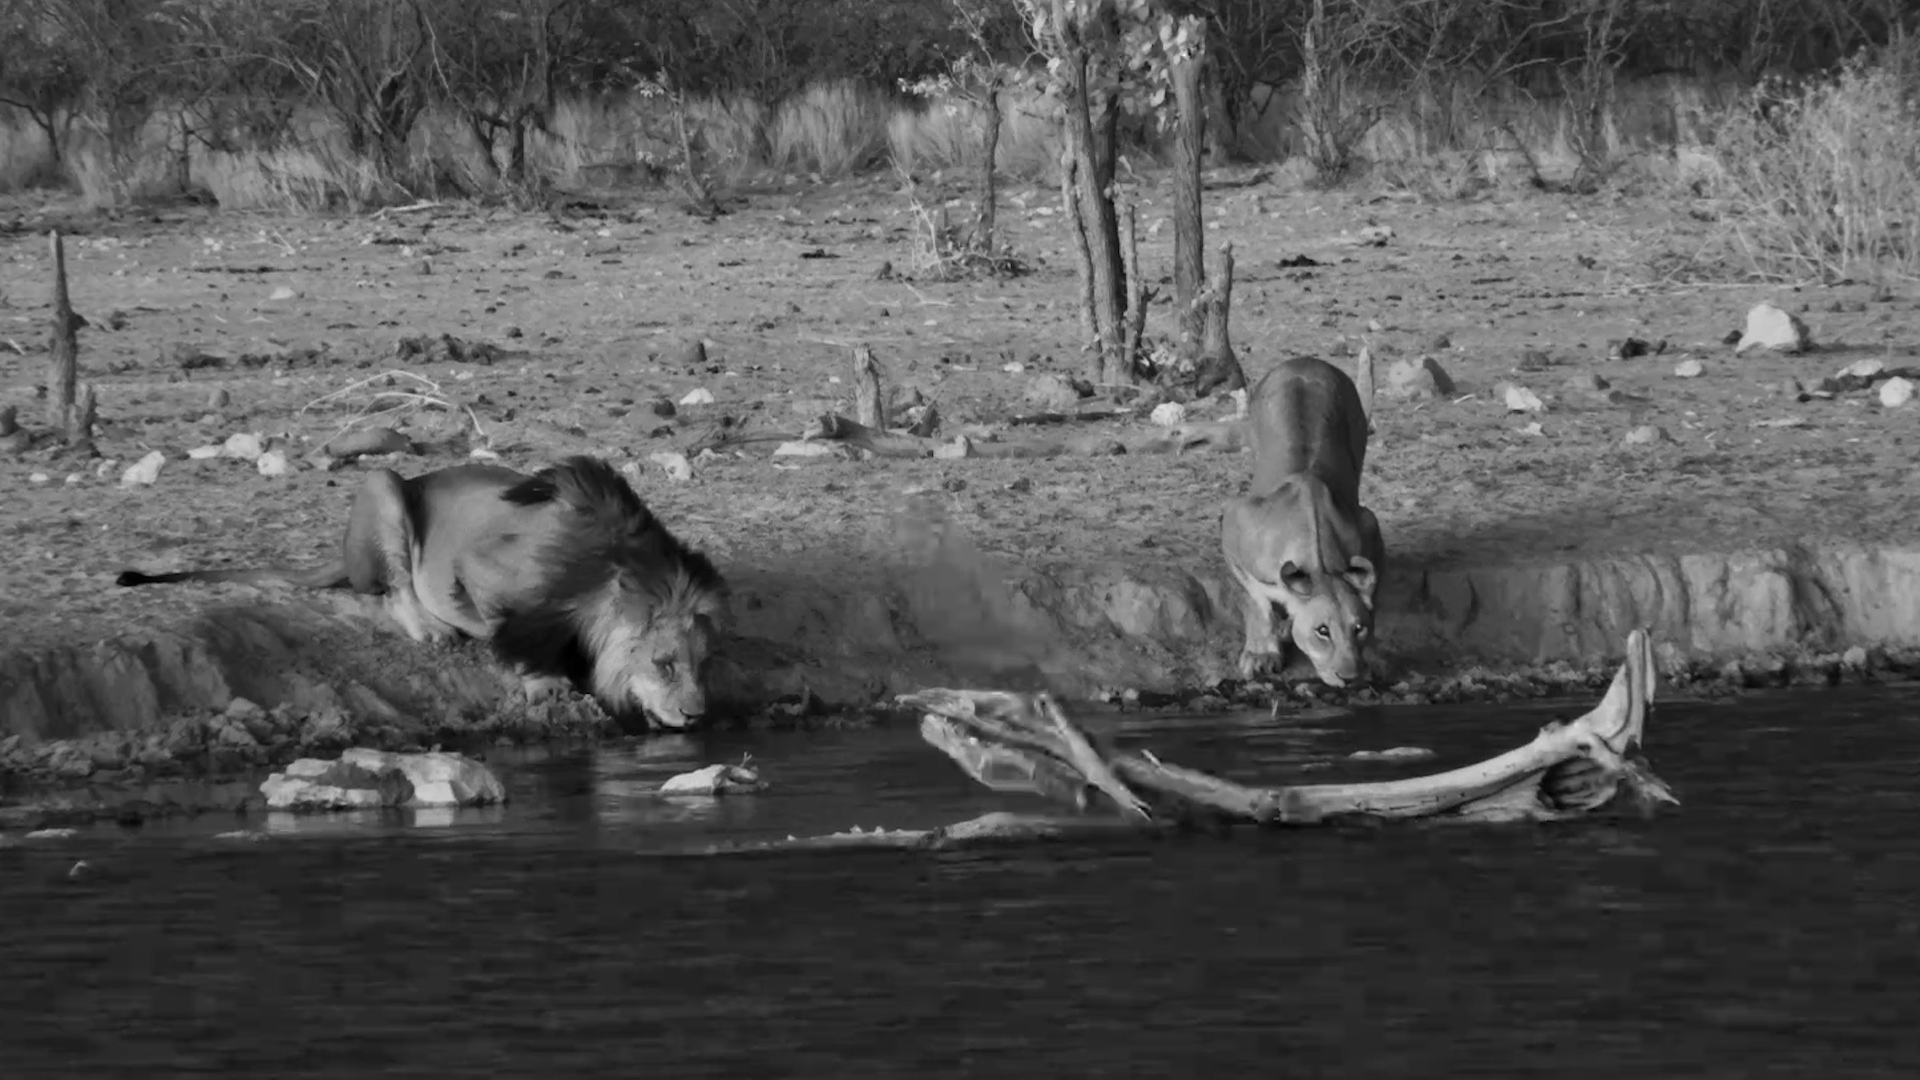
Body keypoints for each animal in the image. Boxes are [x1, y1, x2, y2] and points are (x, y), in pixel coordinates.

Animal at [115, 454, 725, 732]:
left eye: (704, 664)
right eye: (664, 663)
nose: (696, 715)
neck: (608, 568)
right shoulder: (482, 567)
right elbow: (515, 629)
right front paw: (544, 682)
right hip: (382, 484)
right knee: (390, 590)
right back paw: (432, 630)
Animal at [1220, 356, 1385, 688]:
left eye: (1359, 628)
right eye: (1322, 631)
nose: (1349, 677)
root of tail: (1307, 361)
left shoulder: (1367, 525)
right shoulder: (1233, 523)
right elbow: (1256, 602)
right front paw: (1261, 654)